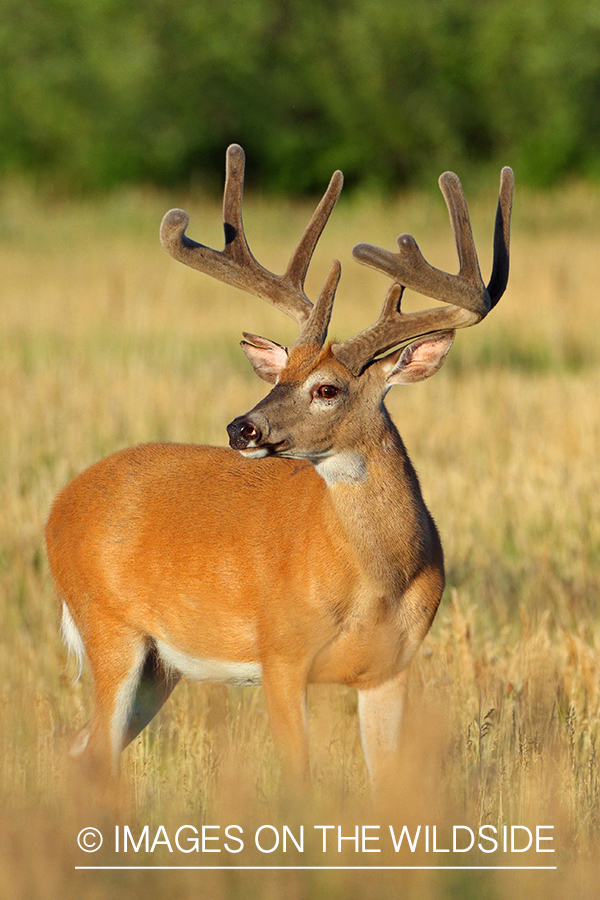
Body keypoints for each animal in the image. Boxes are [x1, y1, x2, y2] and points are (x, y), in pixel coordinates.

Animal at [45, 144, 516, 784]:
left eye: (327, 388)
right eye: (281, 372)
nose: (241, 427)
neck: (377, 580)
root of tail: (58, 506)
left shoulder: (391, 668)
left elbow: (387, 783)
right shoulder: (280, 654)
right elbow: (300, 780)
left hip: (160, 664)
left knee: (80, 750)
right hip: (109, 626)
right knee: (94, 749)